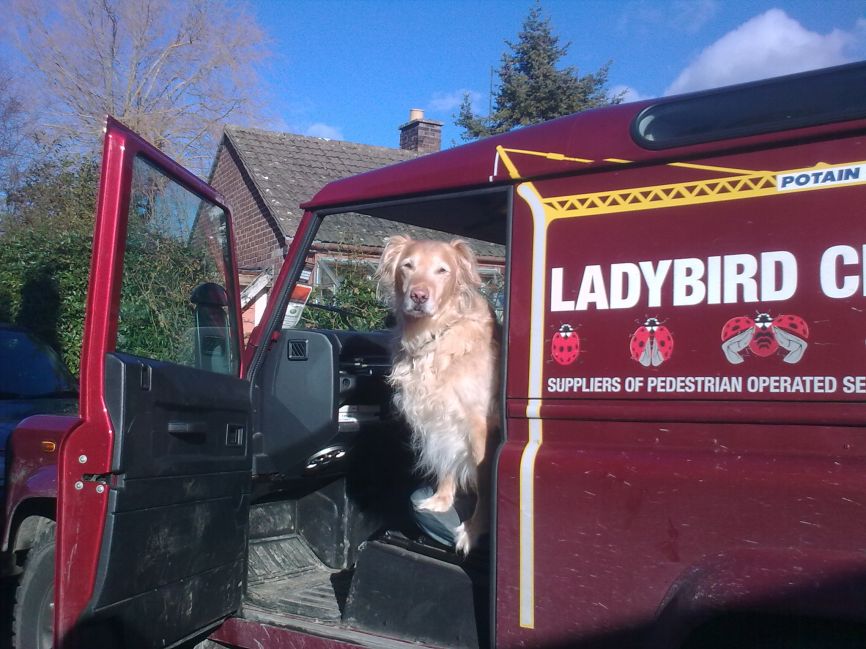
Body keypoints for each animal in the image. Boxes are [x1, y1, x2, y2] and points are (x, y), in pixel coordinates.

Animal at [376, 235, 500, 556]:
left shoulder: (480, 429)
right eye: (408, 266)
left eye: (442, 271)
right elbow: (446, 462)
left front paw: (472, 531)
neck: (434, 334)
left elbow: (485, 485)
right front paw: (441, 501)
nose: (419, 295)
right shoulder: (438, 415)